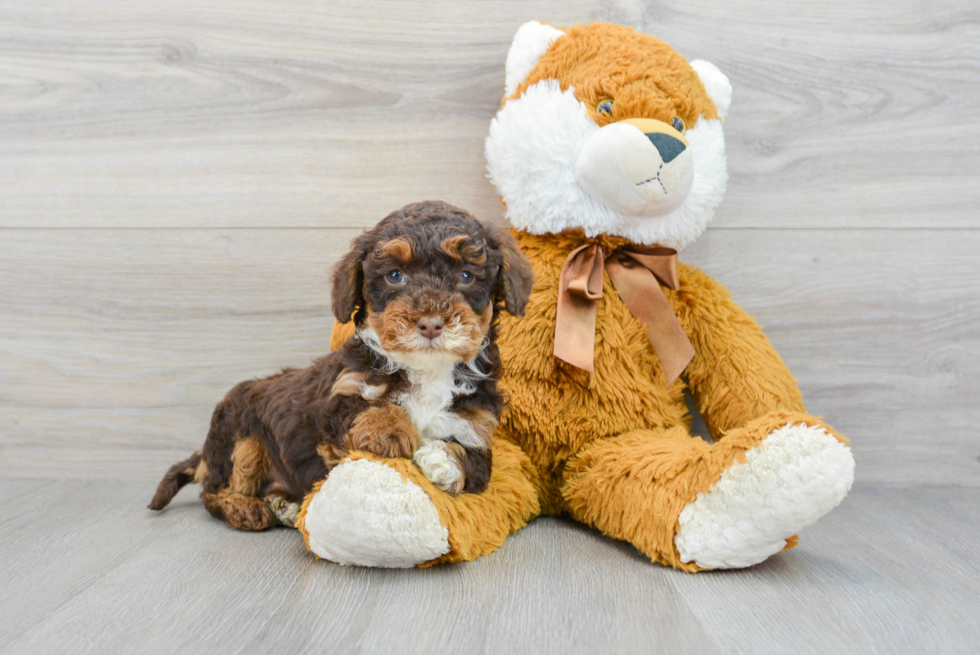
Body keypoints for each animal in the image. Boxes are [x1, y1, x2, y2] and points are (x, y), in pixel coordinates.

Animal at [148, 201, 532, 532]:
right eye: (395, 275)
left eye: (467, 276)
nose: (430, 323)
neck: (426, 369)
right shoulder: (338, 398)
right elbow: (364, 407)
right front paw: (390, 430)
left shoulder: (477, 426)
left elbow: (475, 465)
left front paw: (441, 462)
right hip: (238, 429)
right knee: (215, 490)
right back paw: (245, 507)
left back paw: (283, 505)